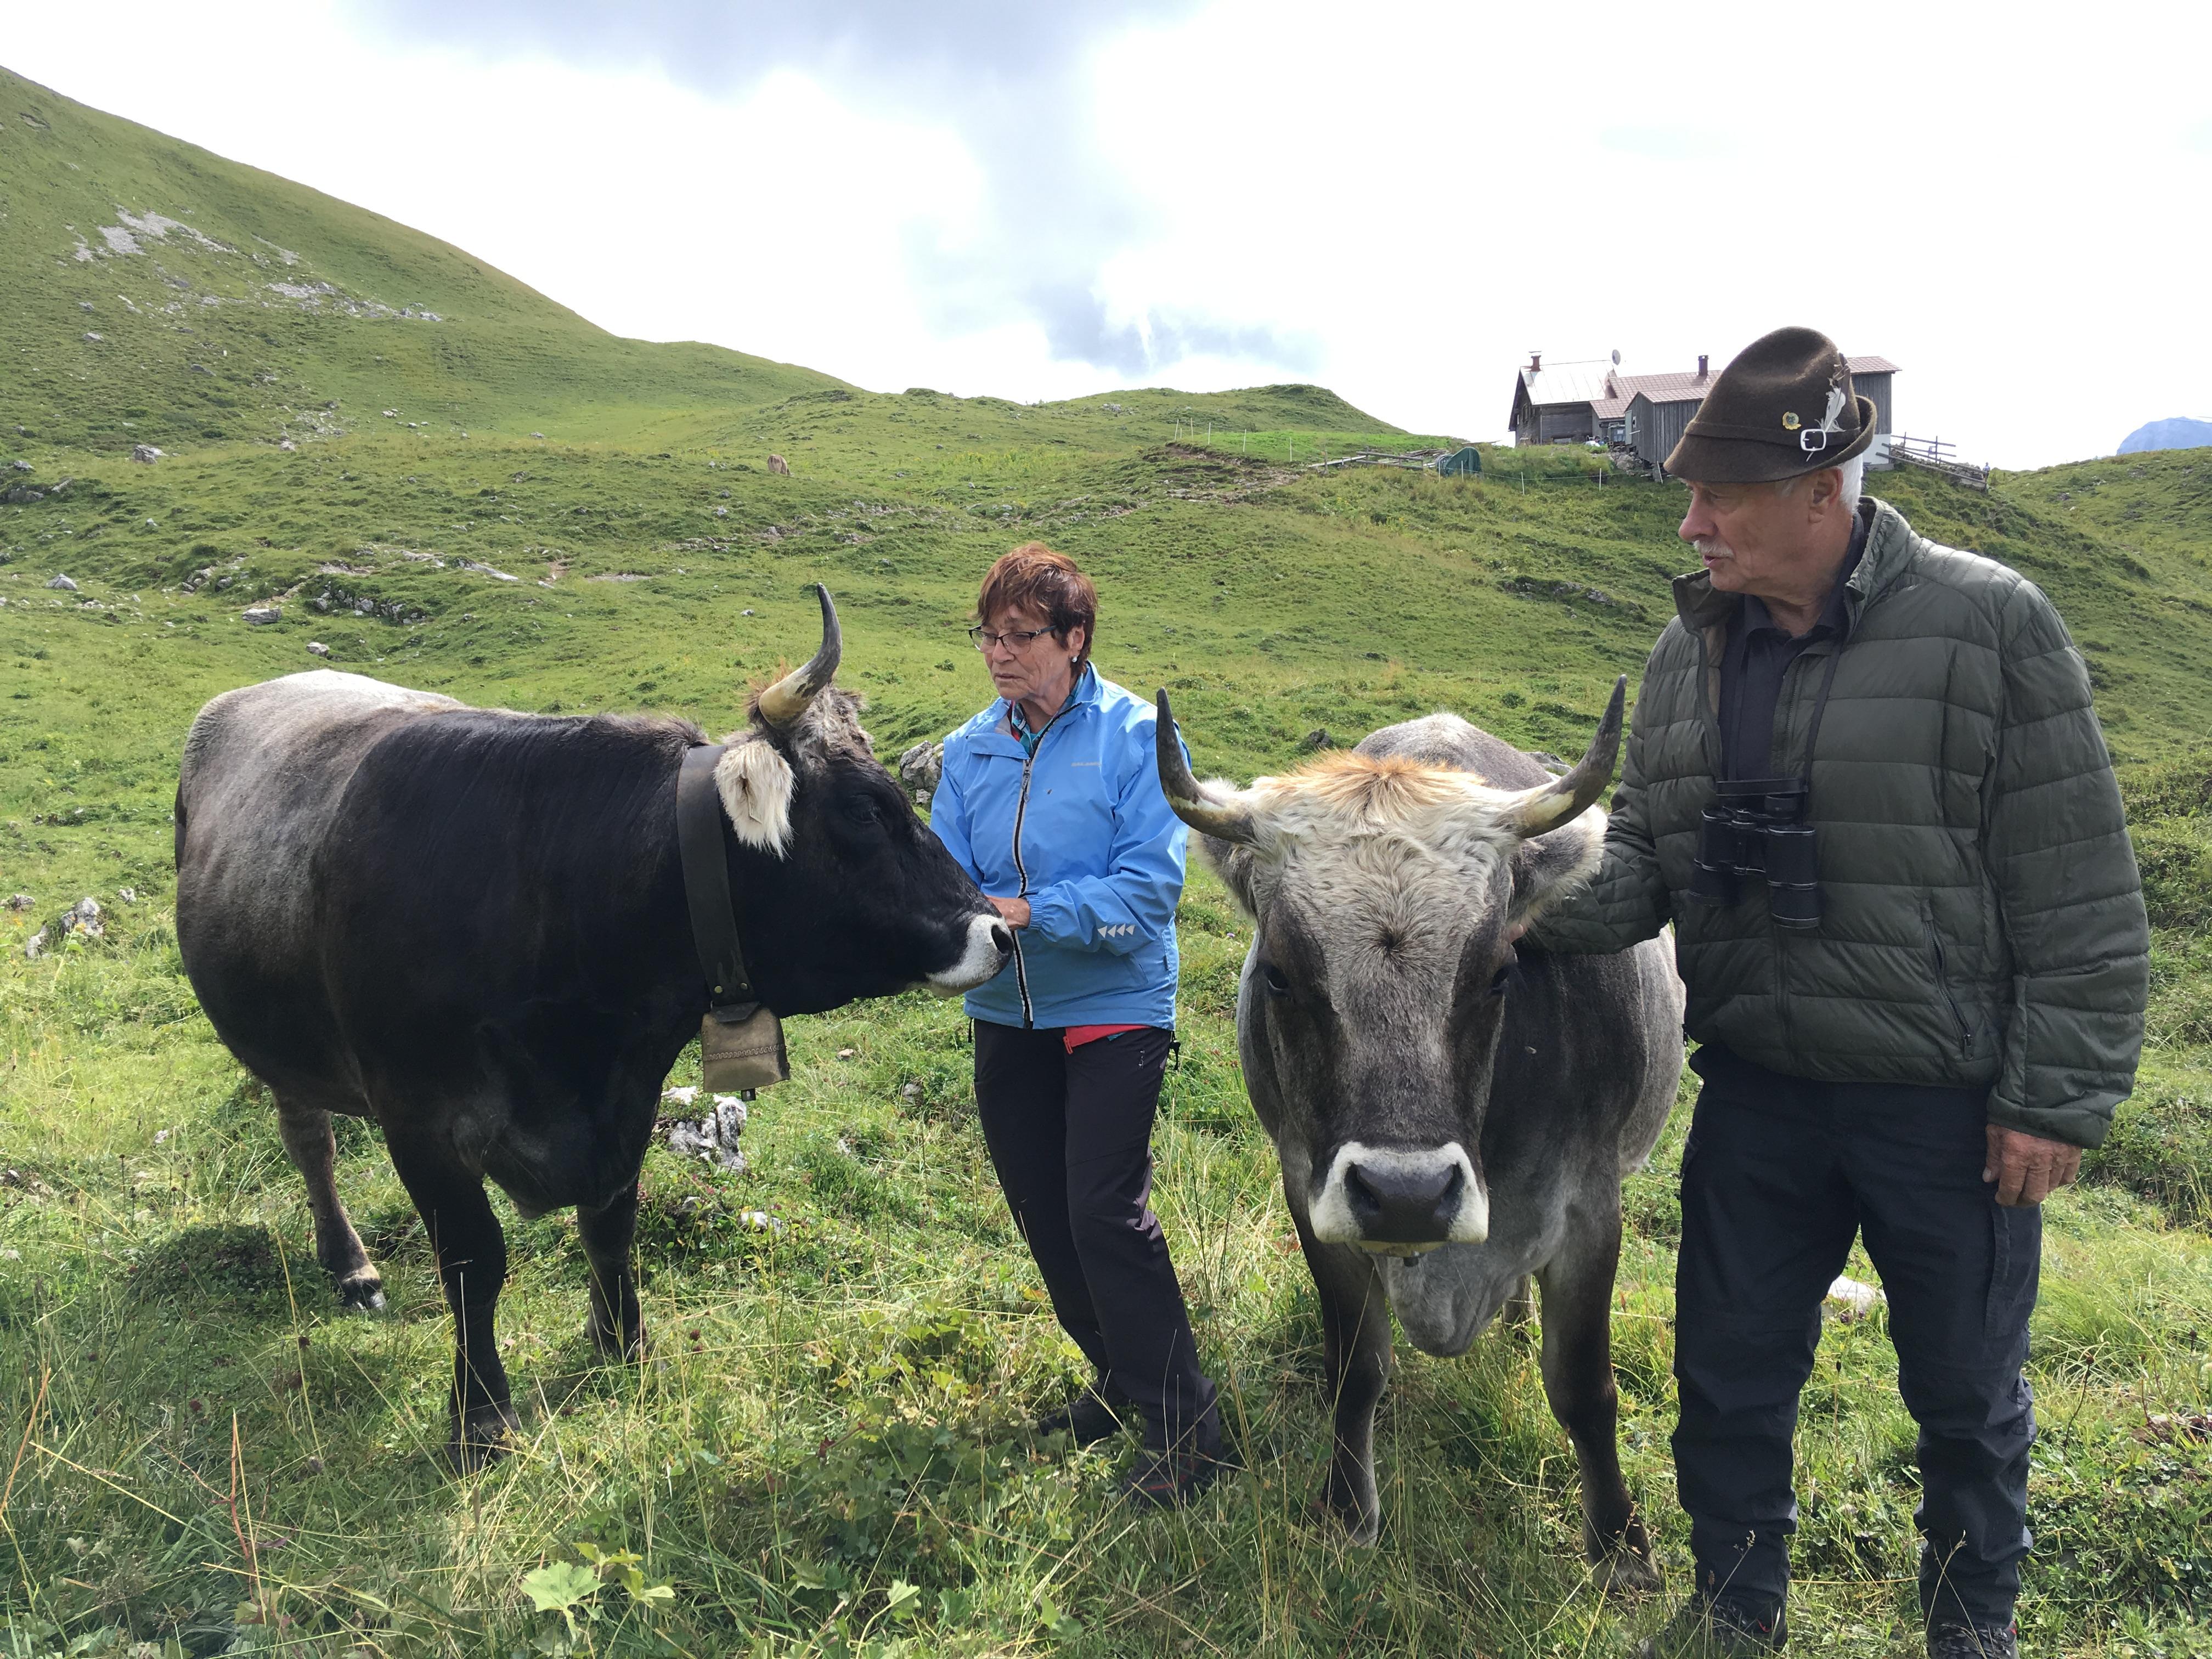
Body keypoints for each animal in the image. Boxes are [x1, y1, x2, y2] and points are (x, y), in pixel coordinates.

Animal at [174, 588, 1011, 1467]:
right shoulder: (419, 1120)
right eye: (865, 809)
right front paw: (481, 1415)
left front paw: (622, 1342)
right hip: (281, 1045)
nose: (998, 932)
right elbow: (474, 1260)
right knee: (312, 1144)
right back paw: (351, 1267)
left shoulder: (628, 1093)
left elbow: (611, 1223)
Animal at [1154, 681, 1683, 1583]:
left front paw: (1619, 1543)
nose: (1407, 1196)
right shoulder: (1311, 1194)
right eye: (1280, 975)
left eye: (1501, 971)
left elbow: (1585, 1388)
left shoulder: (1592, 1212)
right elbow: (1355, 1368)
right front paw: (1345, 1509)